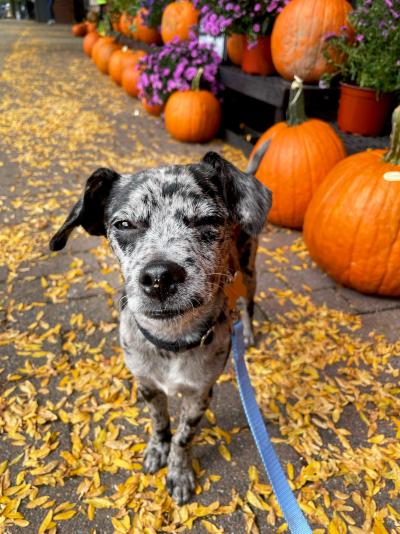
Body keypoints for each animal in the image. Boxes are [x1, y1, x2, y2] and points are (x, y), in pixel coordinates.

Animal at [48, 151, 270, 506]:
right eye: (124, 224)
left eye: (207, 220)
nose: (159, 277)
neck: (171, 341)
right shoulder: (147, 386)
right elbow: (159, 422)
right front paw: (157, 449)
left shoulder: (199, 395)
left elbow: (183, 438)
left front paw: (179, 472)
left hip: (249, 272)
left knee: (248, 305)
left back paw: (247, 332)